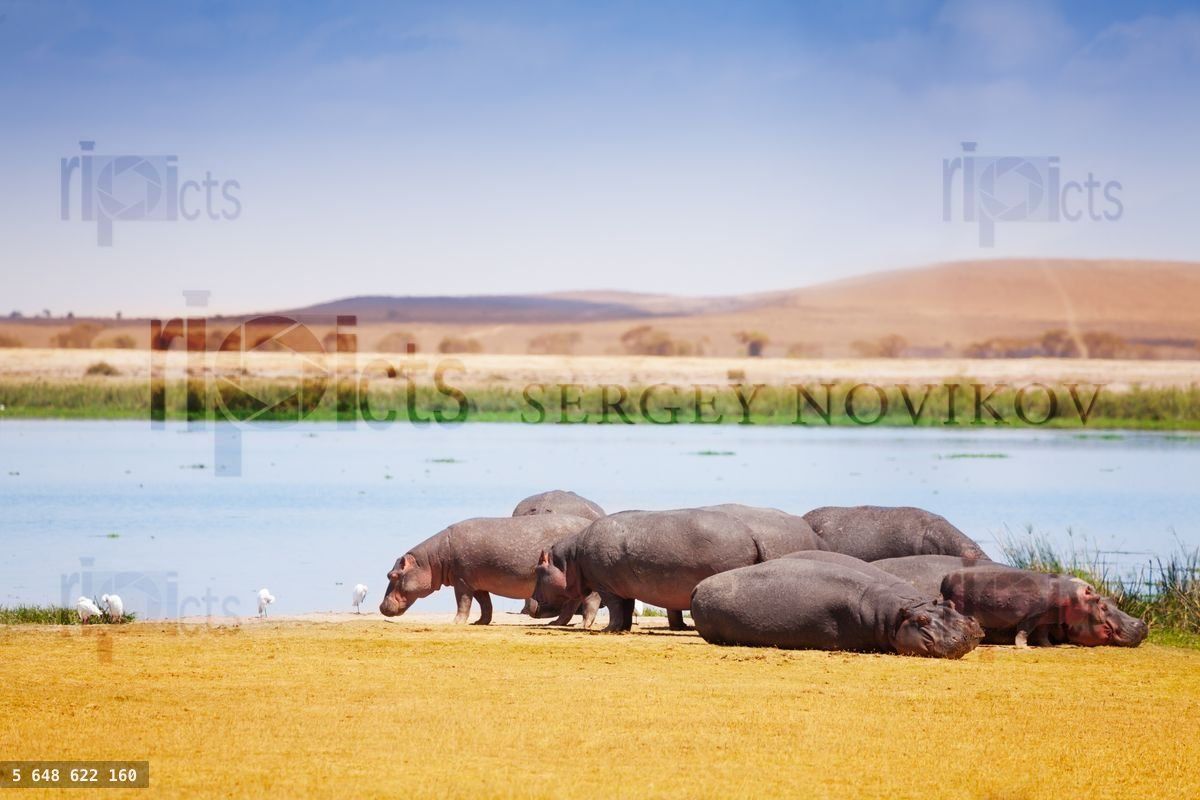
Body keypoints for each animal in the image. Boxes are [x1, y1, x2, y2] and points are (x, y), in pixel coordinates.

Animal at [379, 514, 594, 625]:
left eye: (393, 575)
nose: (381, 606)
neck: (432, 560)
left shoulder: (461, 582)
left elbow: (463, 602)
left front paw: (456, 622)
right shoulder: (477, 584)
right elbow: (485, 604)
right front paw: (480, 622)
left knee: (588, 600)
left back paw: (580, 624)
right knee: (573, 602)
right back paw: (556, 623)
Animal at [530, 507, 828, 632]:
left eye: (537, 569)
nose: (531, 601)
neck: (569, 559)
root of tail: (752, 534)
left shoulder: (608, 588)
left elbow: (615, 609)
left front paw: (608, 630)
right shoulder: (624, 589)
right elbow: (626, 609)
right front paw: (623, 629)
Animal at [940, 567, 1147, 647]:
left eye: (1109, 600)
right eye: (1100, 602)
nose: (1141, 624)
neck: (1069, 593)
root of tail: (946, 579)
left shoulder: (1046, 618)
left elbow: (1042, 633)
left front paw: (1047, 645)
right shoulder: (1032, 615)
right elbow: (1024, 631)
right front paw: (1023, 646)